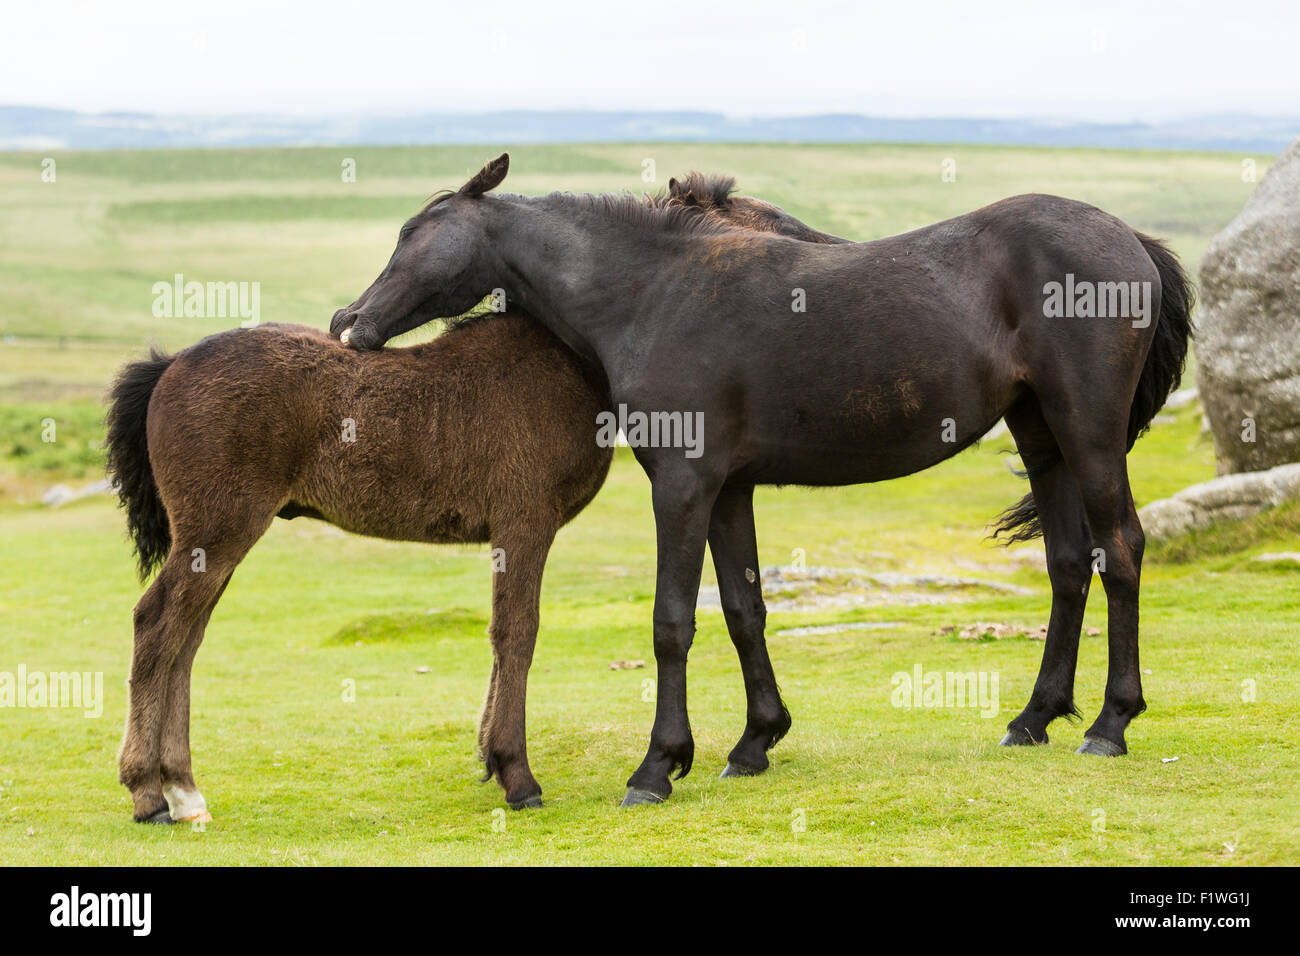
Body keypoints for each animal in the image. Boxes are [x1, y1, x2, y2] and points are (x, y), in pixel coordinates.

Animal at [105, 176, 847, 821]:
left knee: (186, 636)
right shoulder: (526, 523)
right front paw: (518, 776)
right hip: (218, 530)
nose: (833, 252)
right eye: (774, 231)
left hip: (217, 541)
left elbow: (501, 637)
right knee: (156, 624)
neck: (561, 359)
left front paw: (492, 760)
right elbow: (517, 631)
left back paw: (183, 790)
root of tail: (171, 365)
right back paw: (152, 792)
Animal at [332, 154, 1194, 808]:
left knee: (1120, 552)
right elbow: (745, 610)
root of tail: (1129, 238)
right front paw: (755, 741)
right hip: (1042, 438)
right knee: (1066, 565)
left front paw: (658, 766)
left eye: (413, 234)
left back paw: (1109, 725)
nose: (348, 322)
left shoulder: (681, 486)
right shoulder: (728, 491)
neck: (652, 291)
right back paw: (1034, 717)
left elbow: (672, 621)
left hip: (1088, 434)